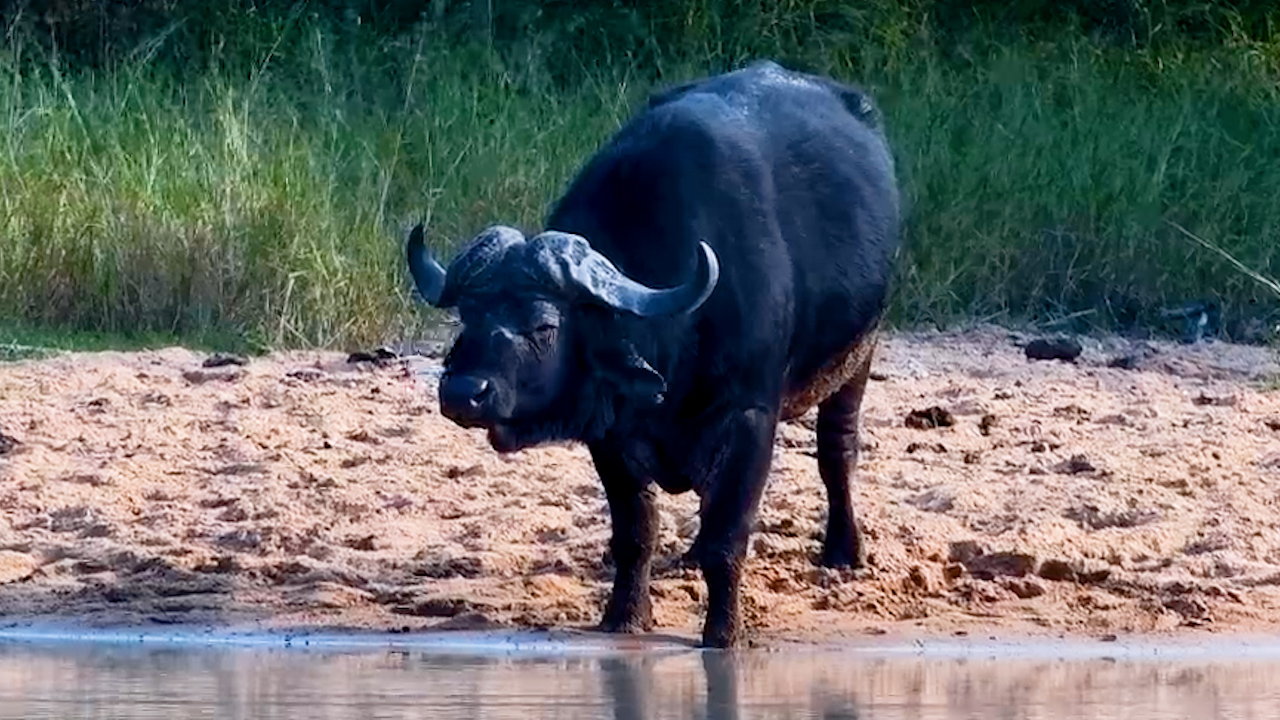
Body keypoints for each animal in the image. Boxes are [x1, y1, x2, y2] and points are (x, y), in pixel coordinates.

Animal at [405, 60, 900, 648]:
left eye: (544, 325)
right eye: (469, 315)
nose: (463, 392)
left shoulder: (752, 417)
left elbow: (728, 535)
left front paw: (723, 632)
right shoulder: (612, 430)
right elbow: (637, 531)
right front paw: (624, 615)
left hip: (859, 355)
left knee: (836, 451)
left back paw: (845, 549)